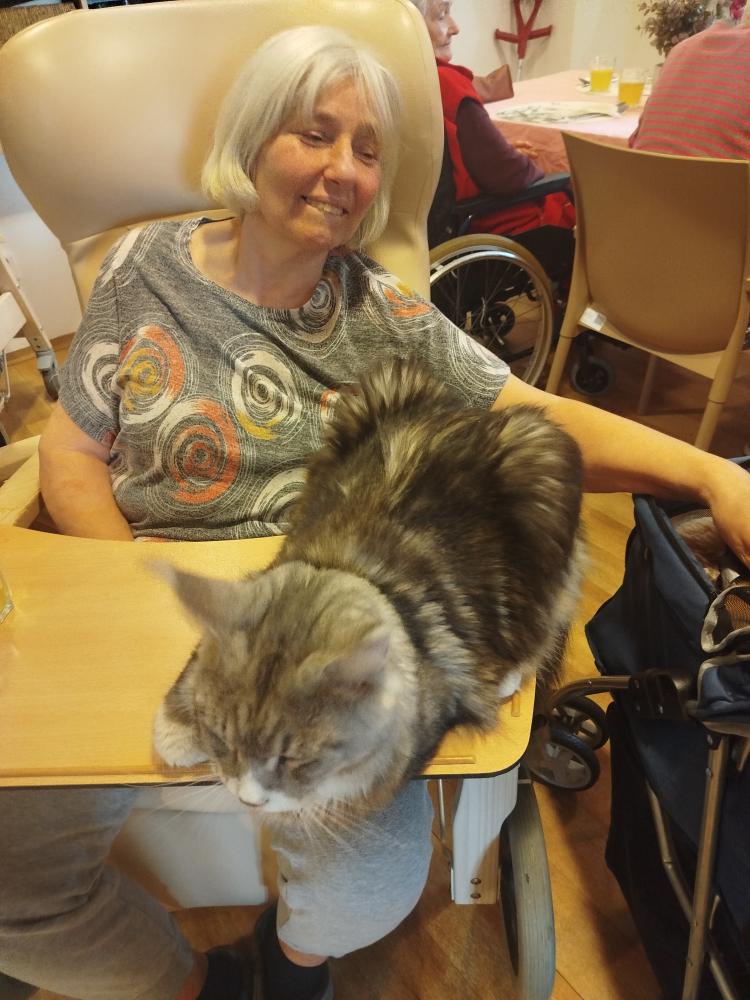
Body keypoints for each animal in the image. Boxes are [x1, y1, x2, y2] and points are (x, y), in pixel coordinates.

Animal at [153, 357, 585, 819]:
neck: (348, 575)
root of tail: (470, 416)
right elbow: (189, 677)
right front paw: (177, 732)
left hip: (541, 483)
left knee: (543, 623)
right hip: (379, 388)